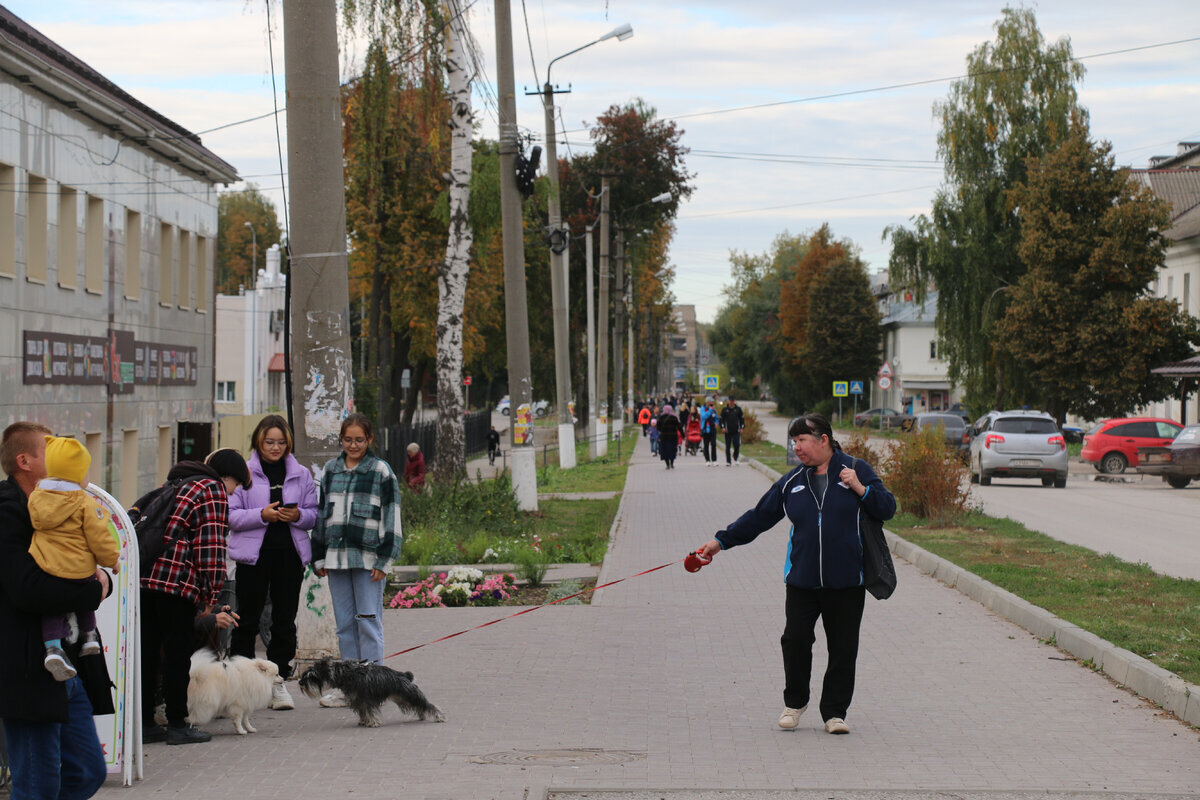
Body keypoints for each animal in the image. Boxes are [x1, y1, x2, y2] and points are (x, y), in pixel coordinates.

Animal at [297, 662, 448, 729]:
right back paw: (422, 715)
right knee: (419, 706)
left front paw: (373, 722)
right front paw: (364, 721)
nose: (300, 683)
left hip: (409, 695)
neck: (344, 674)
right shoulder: (357, 700)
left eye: (313, 676)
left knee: (428, 705)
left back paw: (439, 716)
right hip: (402, 699)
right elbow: (363, 712)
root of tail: (405, 675)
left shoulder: (366, 699)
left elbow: (369, 711)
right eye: (305, 674)